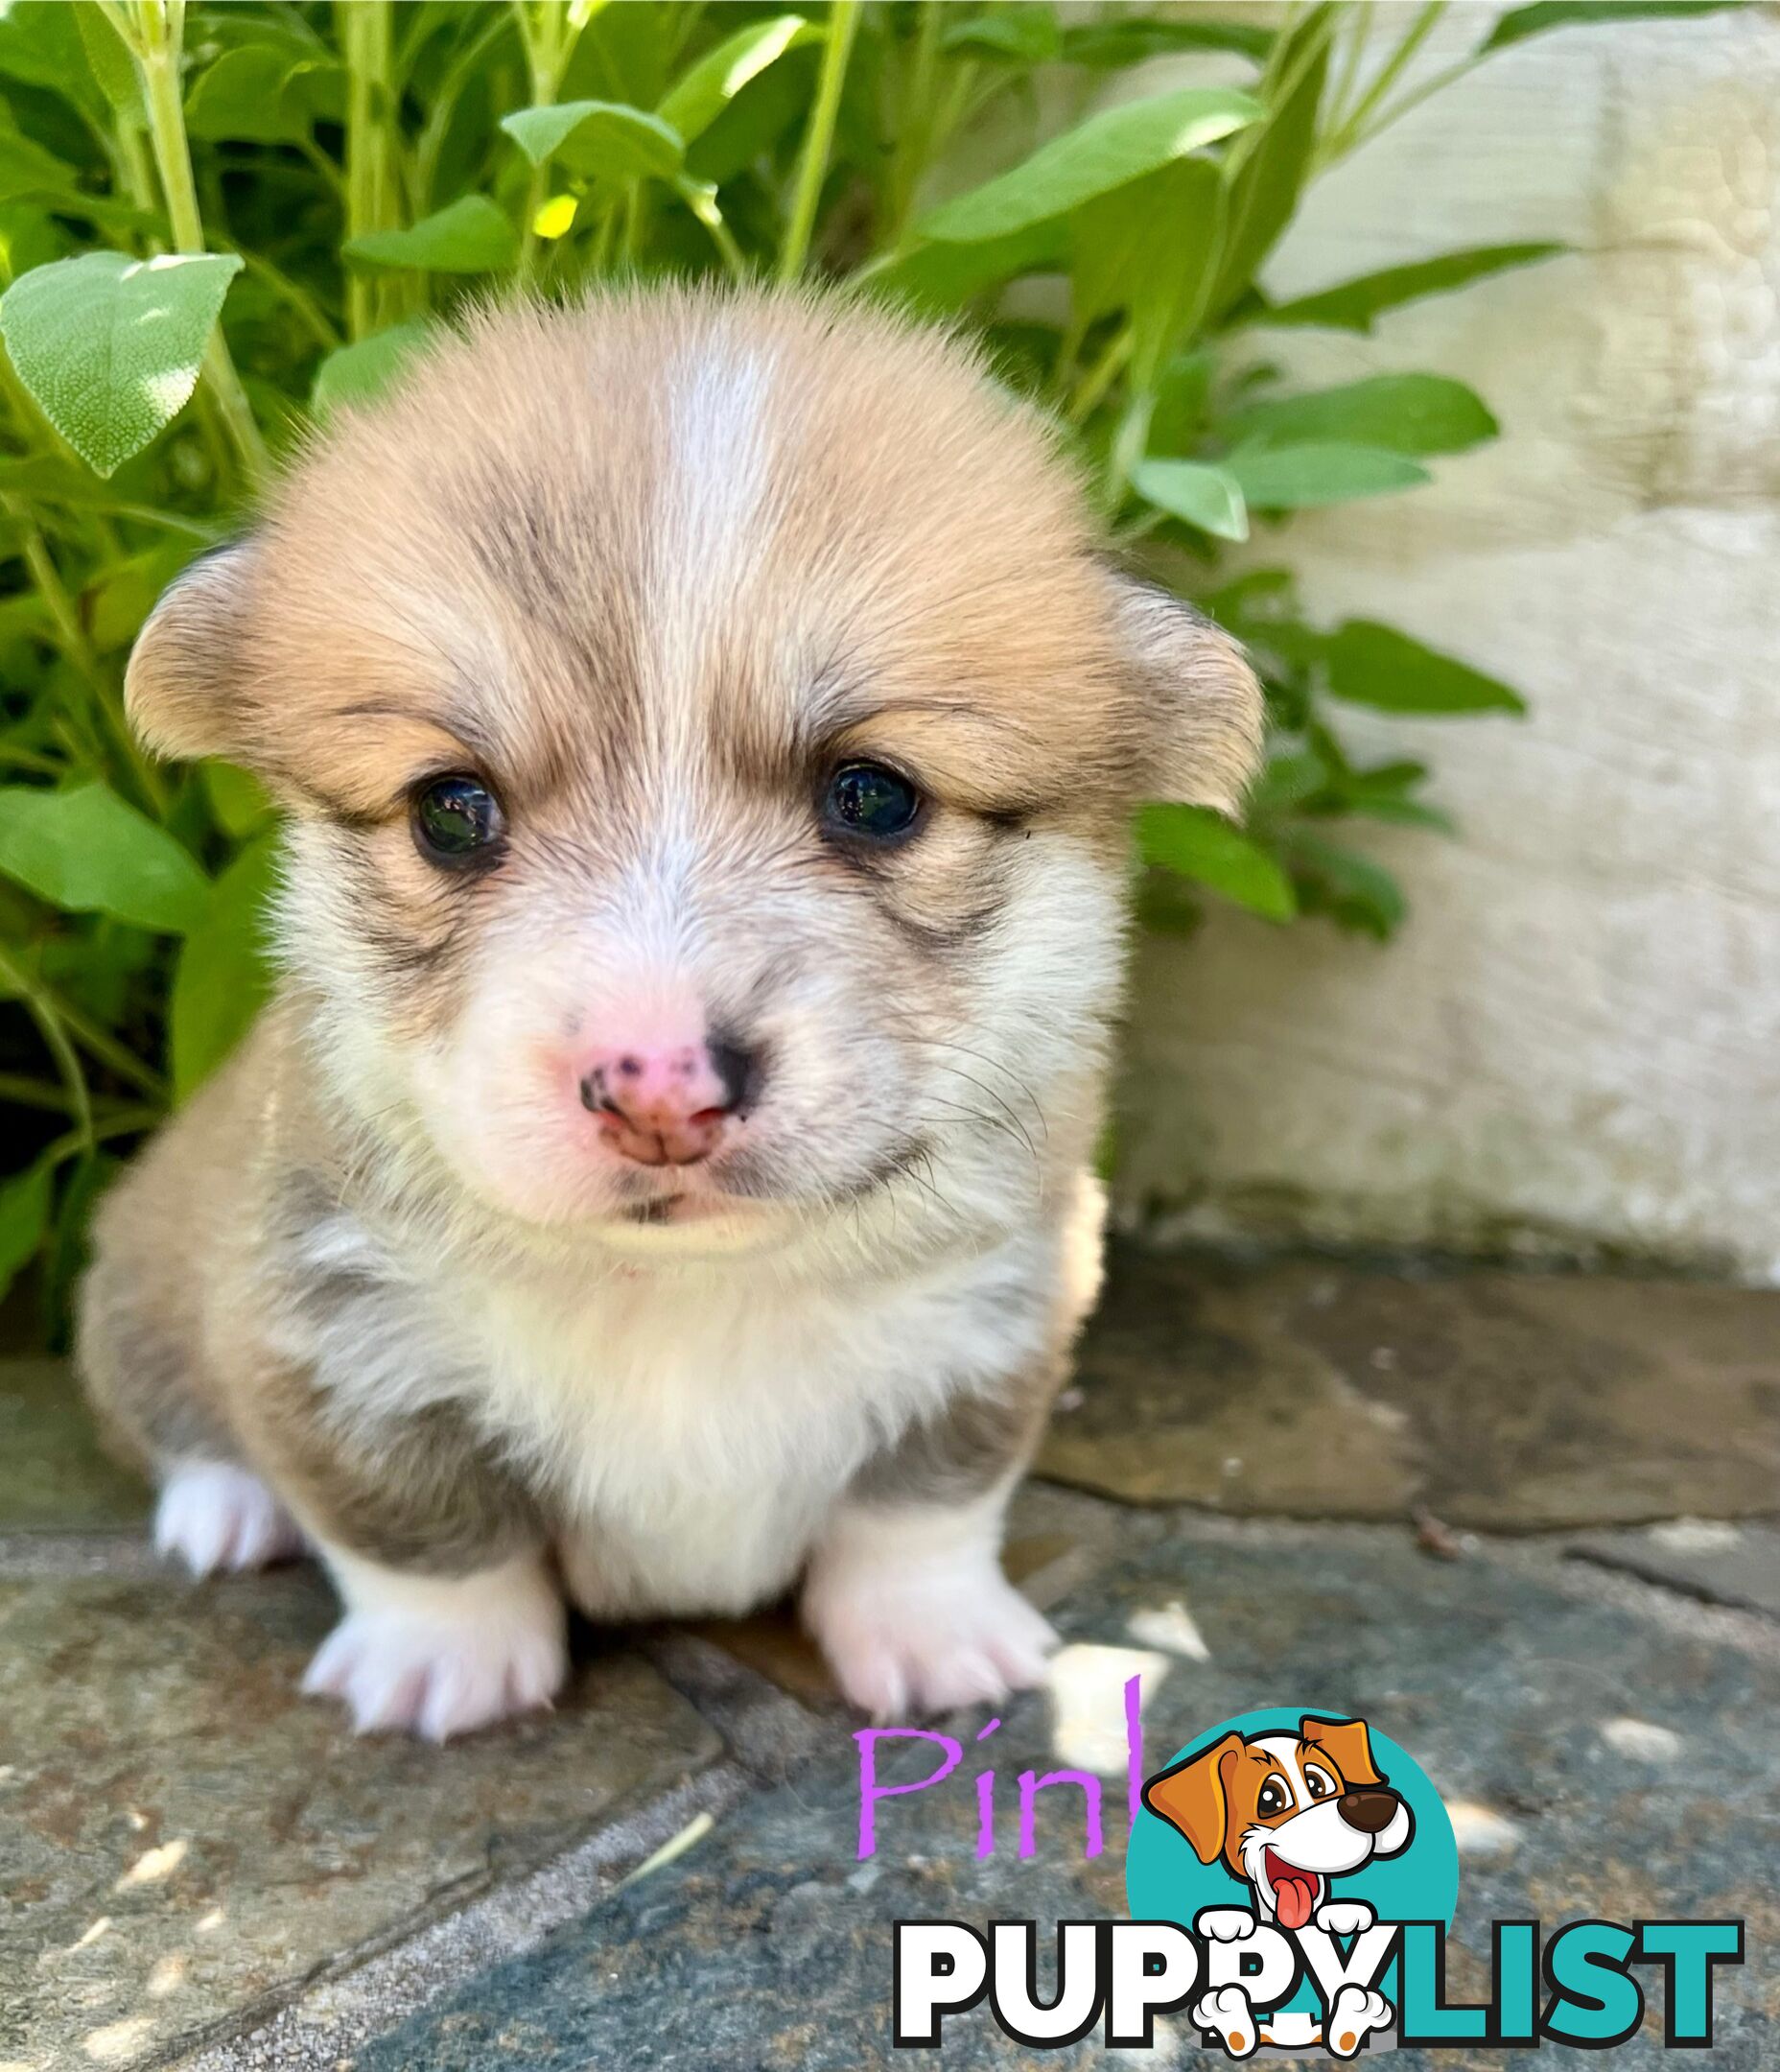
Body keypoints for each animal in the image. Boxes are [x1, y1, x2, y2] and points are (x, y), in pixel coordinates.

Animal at [76, 283, 1259, 1740]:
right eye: (450, 811)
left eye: (875, 796)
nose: (658, 1091)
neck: (684, 1294)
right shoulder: (318, 1334)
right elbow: (417, 1525)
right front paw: (445, 1665)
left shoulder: (1001, 1319)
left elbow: (922, 1505)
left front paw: (934, 1638)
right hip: (135, 1283)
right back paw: (226, 1511)